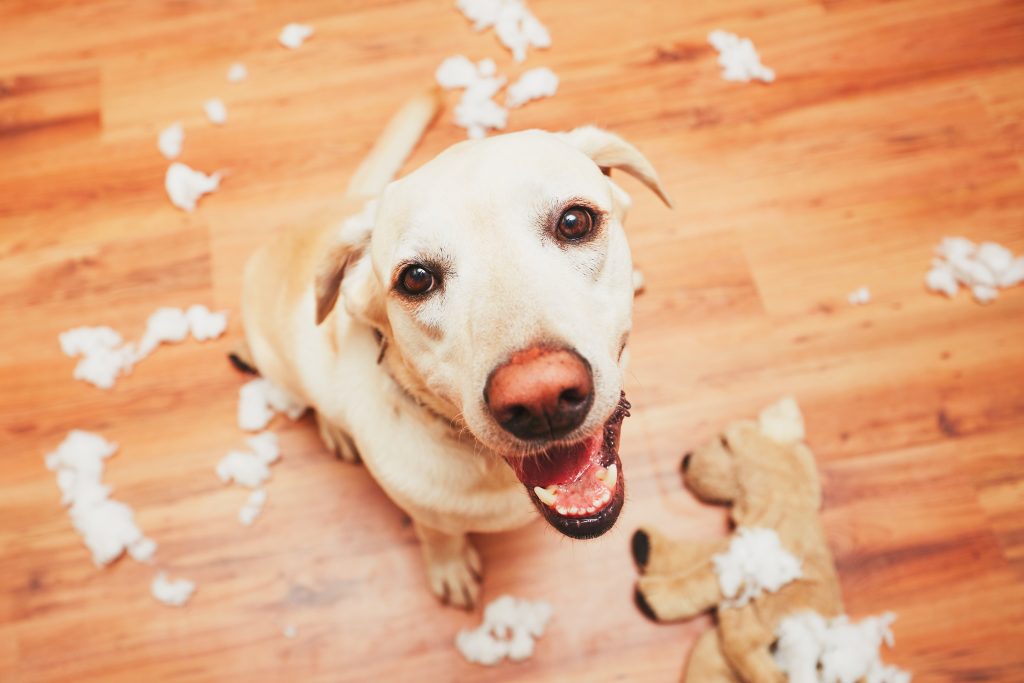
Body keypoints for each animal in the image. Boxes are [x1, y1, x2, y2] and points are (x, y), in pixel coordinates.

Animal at [237, 90, 671, 610]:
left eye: (574, 221)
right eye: (416, 278)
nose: (541, 398)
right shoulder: (425, 512)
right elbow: (439, 536)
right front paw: (450, 566)